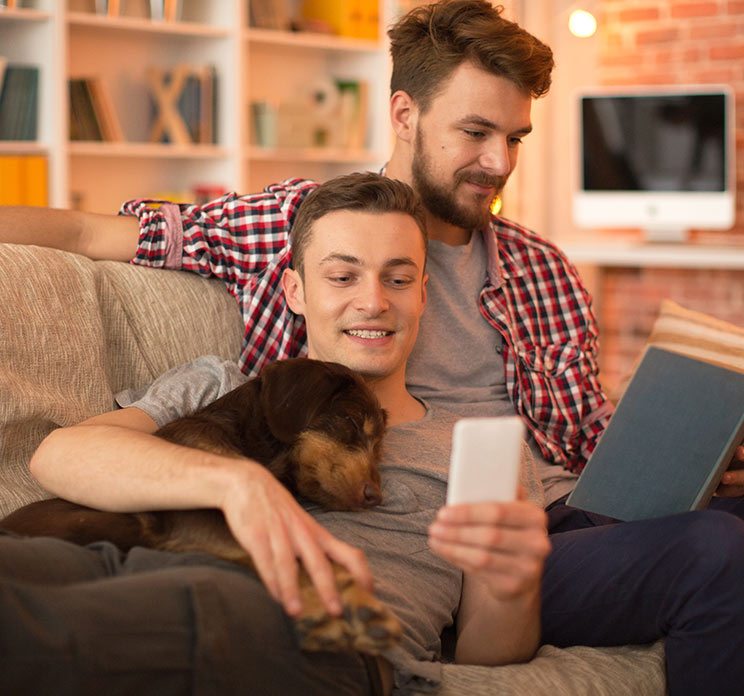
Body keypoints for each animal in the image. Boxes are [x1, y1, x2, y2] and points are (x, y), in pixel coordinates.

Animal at [1, 362, 402, 656]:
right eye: (351, 422)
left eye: (380, 446)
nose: (376, 497)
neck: (254, 448)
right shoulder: (201, 519)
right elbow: (297, 553)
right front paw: (337, 607)